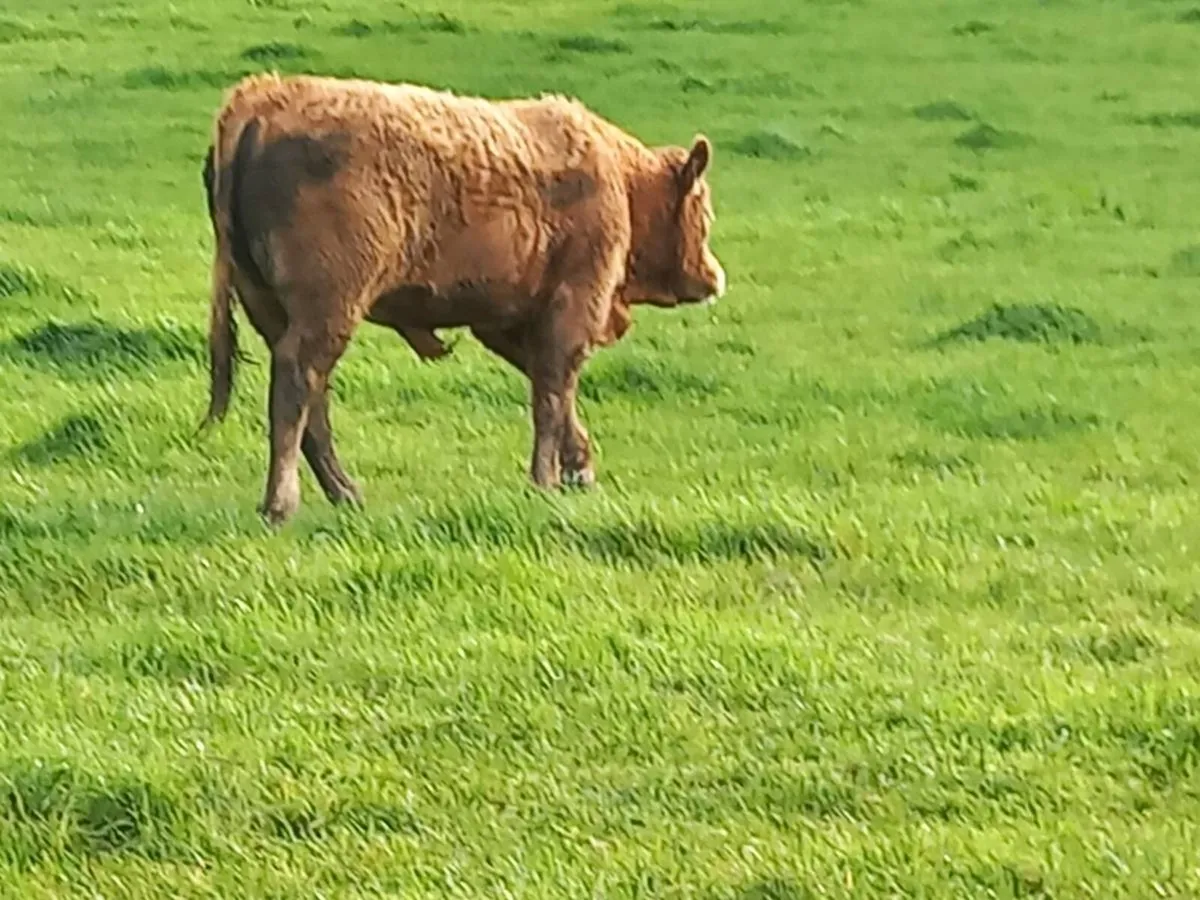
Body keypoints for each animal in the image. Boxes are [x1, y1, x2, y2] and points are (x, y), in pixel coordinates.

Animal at [200, 72, 726, 525]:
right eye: (704, 210)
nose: (715, 277)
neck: (619, 178)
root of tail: (262, 98)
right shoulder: (573, 306)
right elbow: (552, 394)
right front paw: (546, 481)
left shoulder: (509, 321)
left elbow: (553, 390)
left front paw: (578, 468)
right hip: (327, 311)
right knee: (298, 385)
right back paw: (282, 504)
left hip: (277, 309)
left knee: (313, 398)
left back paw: (344, 493)